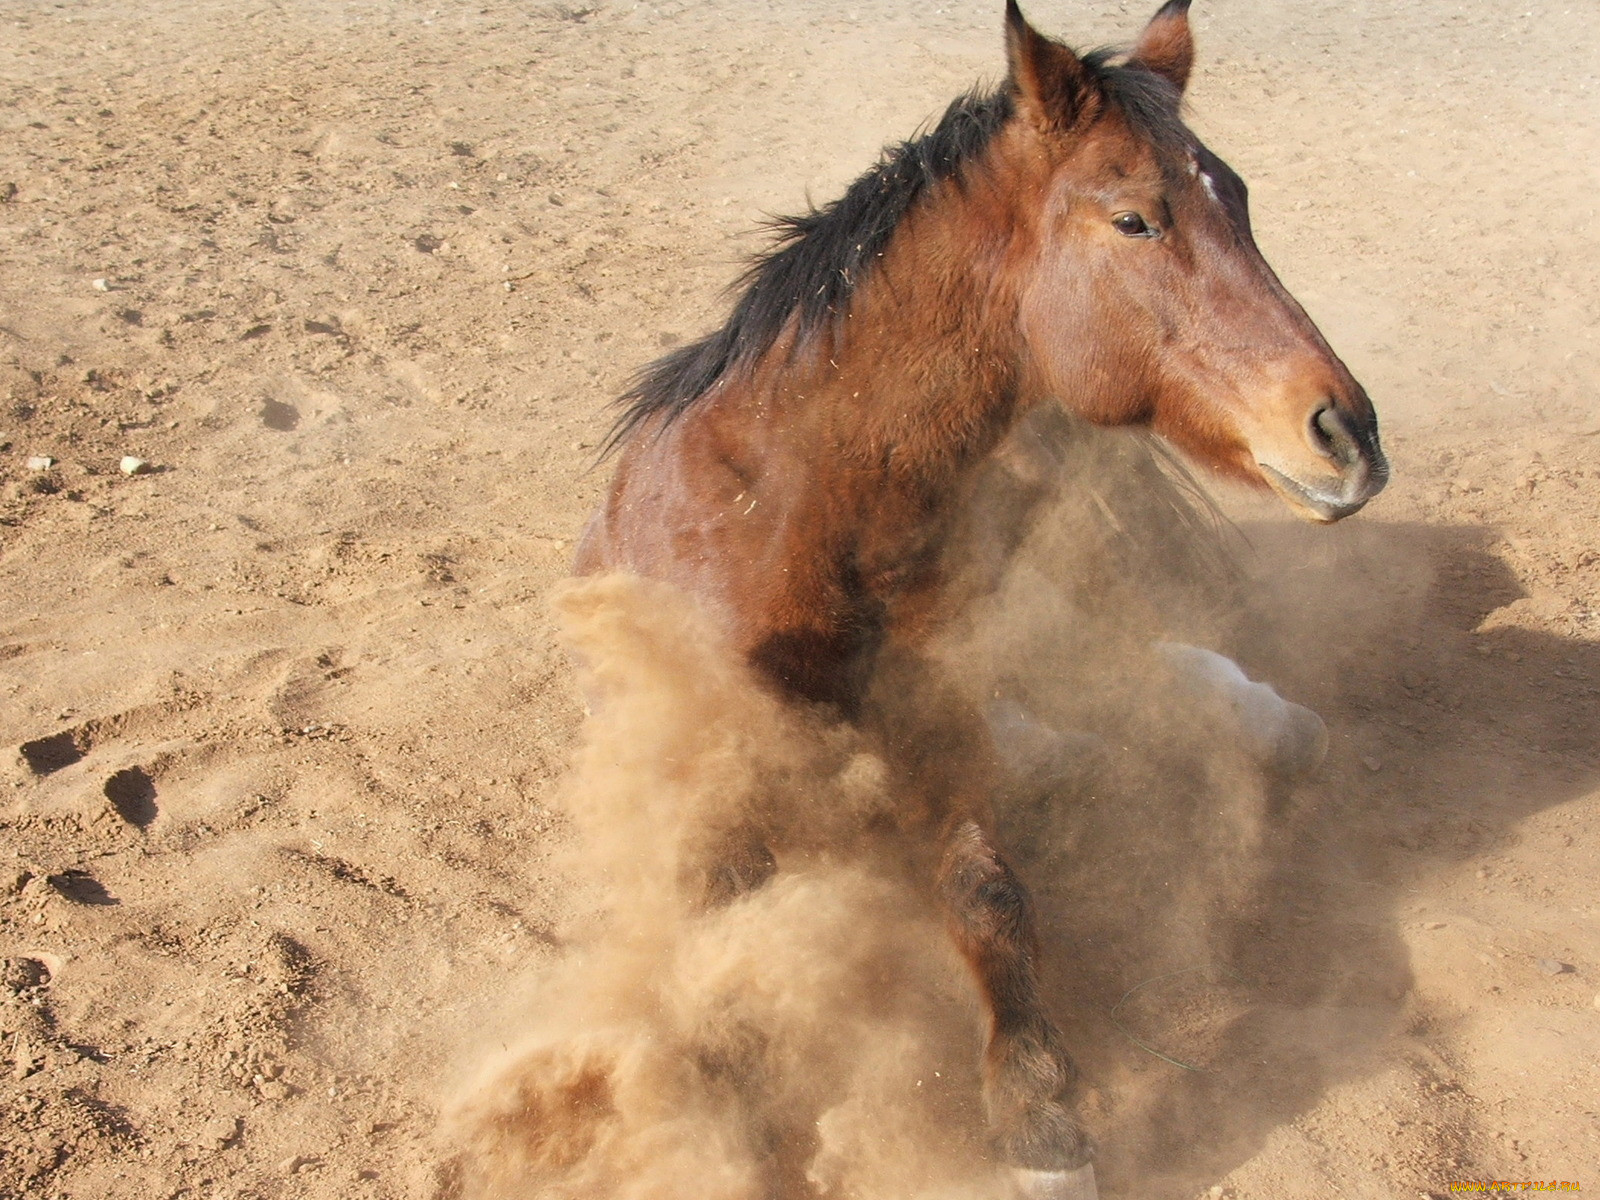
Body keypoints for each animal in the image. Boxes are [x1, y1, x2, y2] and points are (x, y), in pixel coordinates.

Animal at [572, 4, 1376, 1196]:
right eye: (1134, 219)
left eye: (1239, 198)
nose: (1346, 434)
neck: (791, 519)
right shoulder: (704, 790)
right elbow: (726, 952)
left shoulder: (937, 718)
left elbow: (988, 891)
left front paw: (1039, 1118)